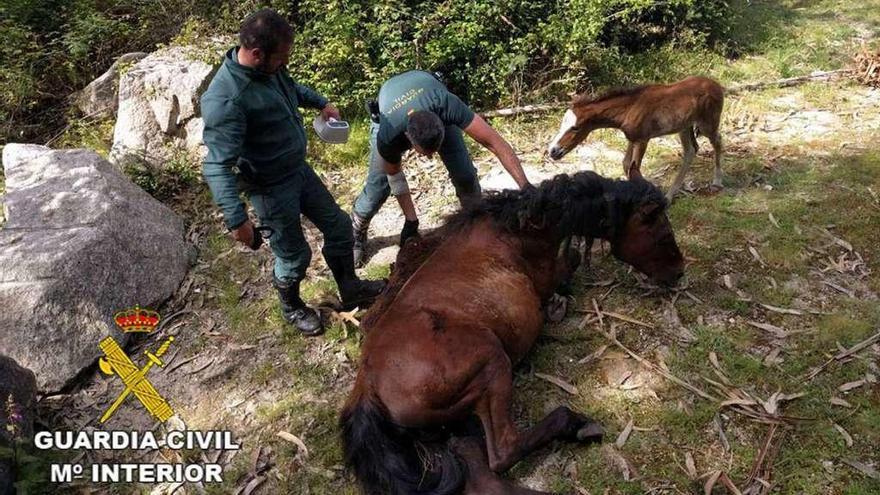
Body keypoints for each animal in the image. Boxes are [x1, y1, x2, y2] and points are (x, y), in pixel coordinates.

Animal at [340, 171, 684, 495]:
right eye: (663, 232)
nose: (679, 273)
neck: (518, 228)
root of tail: (367, 388)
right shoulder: (546, 276)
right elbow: (570, 262)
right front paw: (558, 301)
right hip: (492, 362)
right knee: (504, 452)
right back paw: (576, 425)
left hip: (453, 430)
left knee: (481, 475)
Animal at [548, 75, 724, 202]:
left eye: (575, 127)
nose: (553, 151)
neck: (629, 108)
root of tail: (717, 85)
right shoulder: (632, 138)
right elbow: (627, 165)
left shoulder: (642, 140)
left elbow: (635, 167)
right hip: (684, 127)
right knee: (691, 150)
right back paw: (669, 196)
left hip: (707, 124)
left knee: (717, 141)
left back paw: (717, 182)